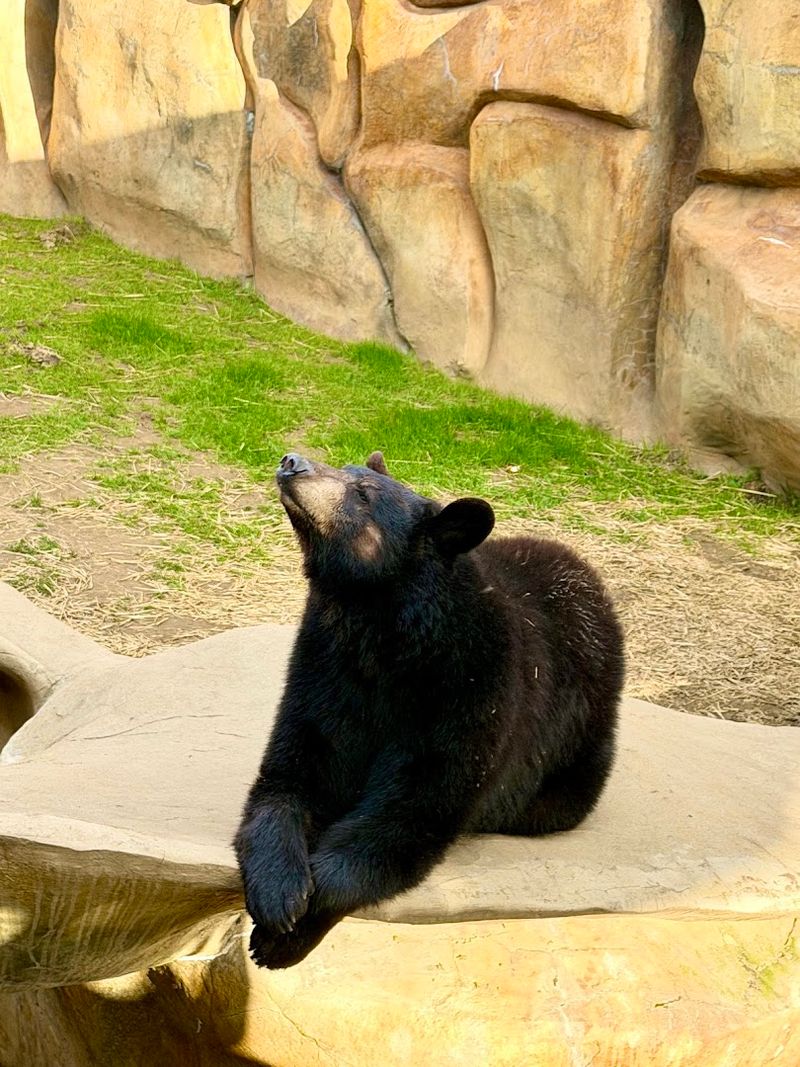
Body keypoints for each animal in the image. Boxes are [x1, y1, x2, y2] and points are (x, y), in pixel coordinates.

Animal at [235, 451, 624, 969]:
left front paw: (286, 937)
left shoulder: (471, 688)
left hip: (580, 738)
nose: (292, 461)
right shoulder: (325, 670)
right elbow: (291, 776)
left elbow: (413, 808)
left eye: (363, 494)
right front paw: (279, 894)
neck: (381, 630)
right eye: (345, 466)